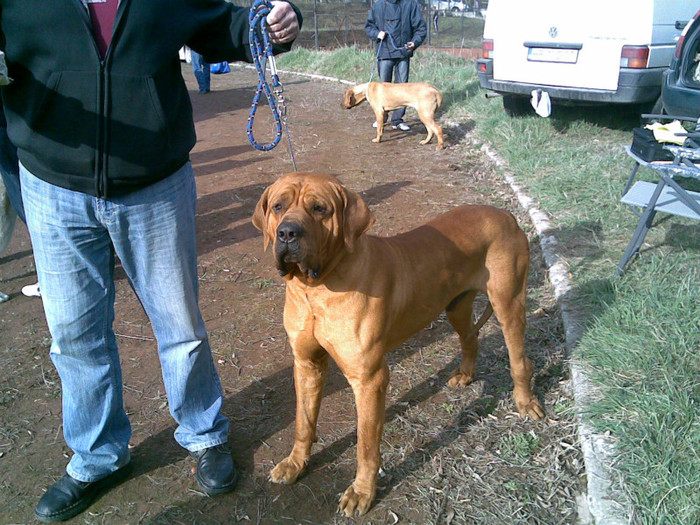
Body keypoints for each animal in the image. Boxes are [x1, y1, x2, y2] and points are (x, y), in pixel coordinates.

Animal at [254, 173, 544, 516]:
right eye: (278, 206)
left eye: (320, 209)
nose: (287, 232)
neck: (316, 287)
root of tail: (505, 214)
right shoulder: (306, 363)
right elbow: (303, 421)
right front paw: (295, 464)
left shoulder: (369, 379)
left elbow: (366, 445)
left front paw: (361, 492)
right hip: (456, 306)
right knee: (470, 337)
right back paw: (466, 374)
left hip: (507, 304)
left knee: (519, 360)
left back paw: (525, 402)